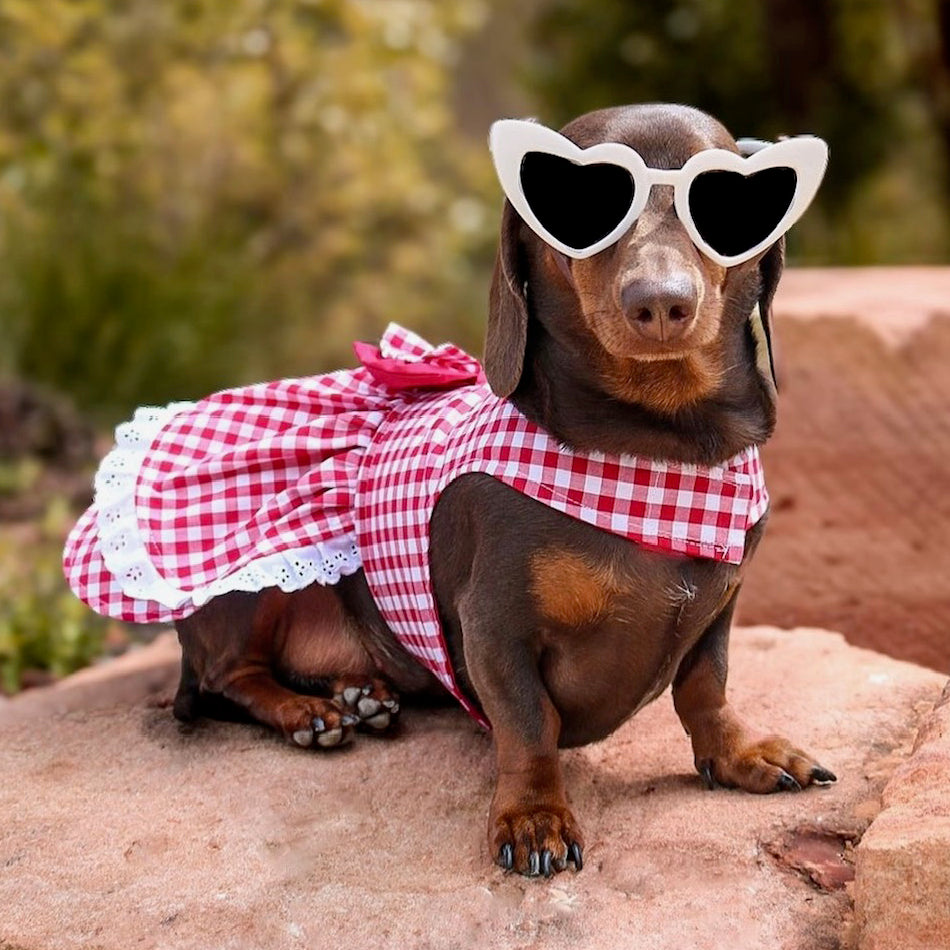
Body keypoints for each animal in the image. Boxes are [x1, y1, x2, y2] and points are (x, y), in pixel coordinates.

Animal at [113, 102, 832, 876]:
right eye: (575, 206)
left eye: (730, 207)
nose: (661, 303)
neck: (656, 454)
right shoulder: (496, 625)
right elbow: (528, 722)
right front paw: (534, 815)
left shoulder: (720, 605)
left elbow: (707, 685)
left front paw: (741, 752)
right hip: (255, 577)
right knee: (229, 674)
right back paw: (310, 714)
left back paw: (361, 695)